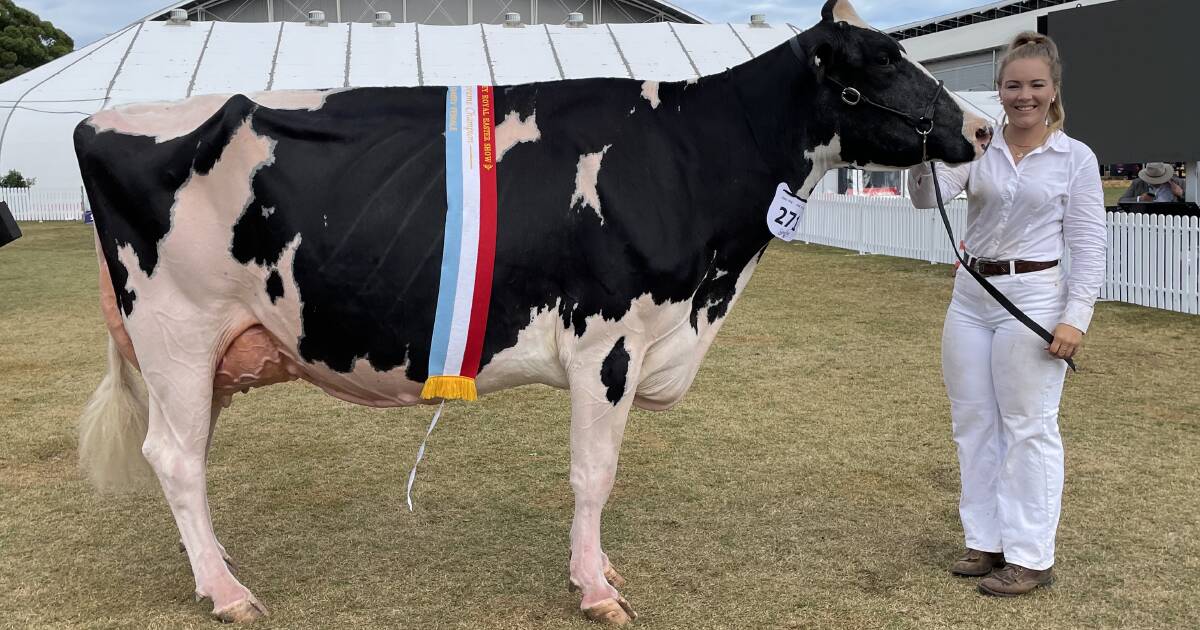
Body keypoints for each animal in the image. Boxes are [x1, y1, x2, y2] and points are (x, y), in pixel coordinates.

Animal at [75, 0, 988, 619]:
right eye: (880, 64)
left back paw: (217, 567)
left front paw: (602, 573)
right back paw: (228, 592)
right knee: (174, 459)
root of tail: (103, 117)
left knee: (189, 458)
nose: (980, 129)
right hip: (177, 332)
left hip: (210, 351)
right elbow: (594, 473)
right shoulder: (608, 342)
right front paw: (595, 588)